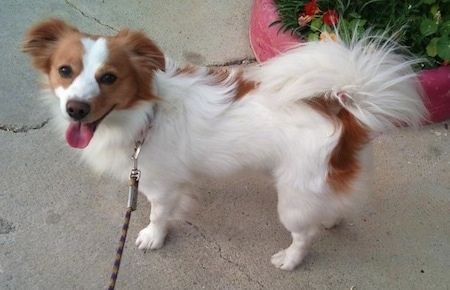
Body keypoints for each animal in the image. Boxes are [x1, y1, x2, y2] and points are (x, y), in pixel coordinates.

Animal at [22, 19, 428, 270]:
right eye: (64, 71)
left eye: (109, 78)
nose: (76, 109)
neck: (145, 114)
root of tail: (344, 109)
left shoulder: (160, 185)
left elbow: (158, 213)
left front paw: (153, 237)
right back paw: (330, 217)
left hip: (293, 198)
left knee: (304, 235)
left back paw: (290, 258)